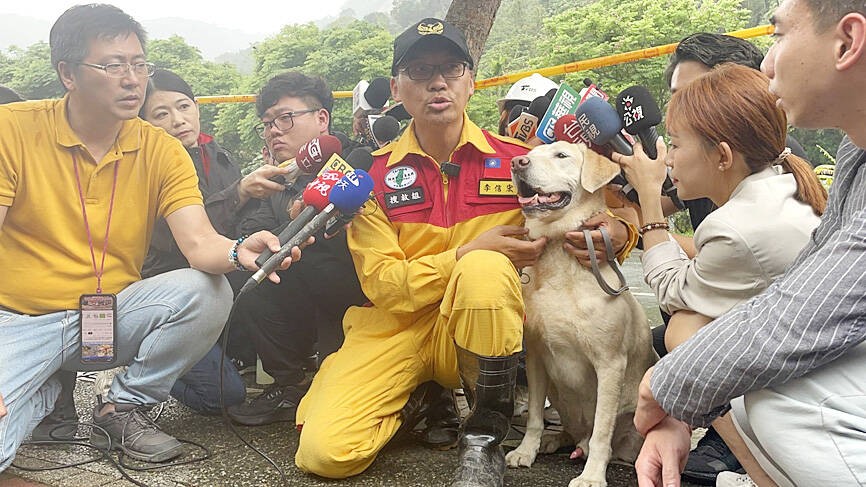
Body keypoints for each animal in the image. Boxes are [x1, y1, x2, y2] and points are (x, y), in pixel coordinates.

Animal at [502, 141, 652, 487]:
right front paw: (527, 450)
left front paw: (592, 475)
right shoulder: (536, 356)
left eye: (561, 156)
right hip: (561, 398)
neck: (559, 252)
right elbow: (534, 416)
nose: (517, 162)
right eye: (531, 154)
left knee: (601, 438)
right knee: (571, 431)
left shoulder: (610, 364)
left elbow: (602, 431)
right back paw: (553, 440)